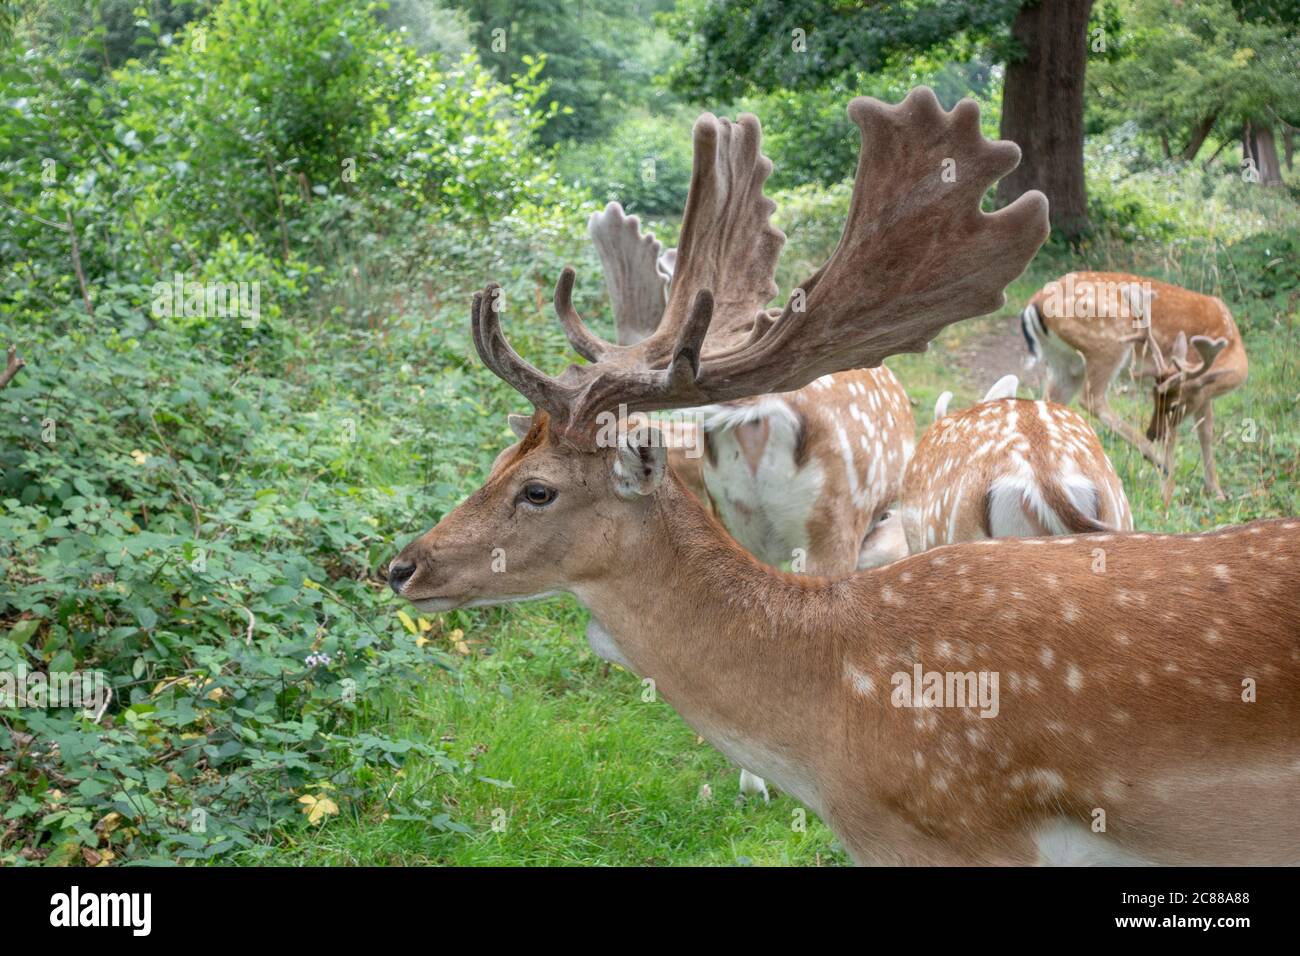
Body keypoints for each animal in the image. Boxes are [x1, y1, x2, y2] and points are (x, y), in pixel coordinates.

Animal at [1020, 272, 1248, 502]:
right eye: (1163, 400)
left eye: (1169, 403)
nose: (1152, 433)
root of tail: (1034, 303)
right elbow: (1175, 436)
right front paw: (1167, 492)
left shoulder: (1202, 396)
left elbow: (1206, 431)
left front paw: (1216, 491)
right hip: (1107, 344)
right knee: (1092, 399)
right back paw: (1155, 459)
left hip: (1065, 363)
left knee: (1050, 403)